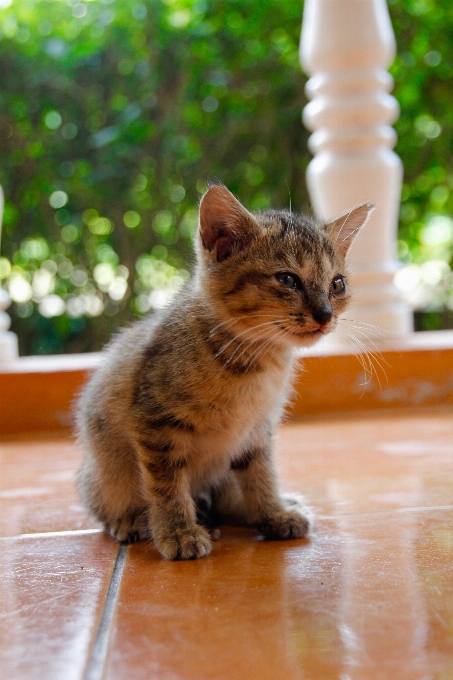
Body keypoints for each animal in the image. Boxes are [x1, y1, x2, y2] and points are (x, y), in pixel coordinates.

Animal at [76, 185, 370, 556]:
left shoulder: (256, 429)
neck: (256, 364)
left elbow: (261, 472)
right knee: (107, 501)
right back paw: (131, 520)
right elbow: (166, 485)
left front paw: (272, 512)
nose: (325, 314)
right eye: (287, 279)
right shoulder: (154, 423)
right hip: (105, 470)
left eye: (337, 284)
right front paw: (178, 531)